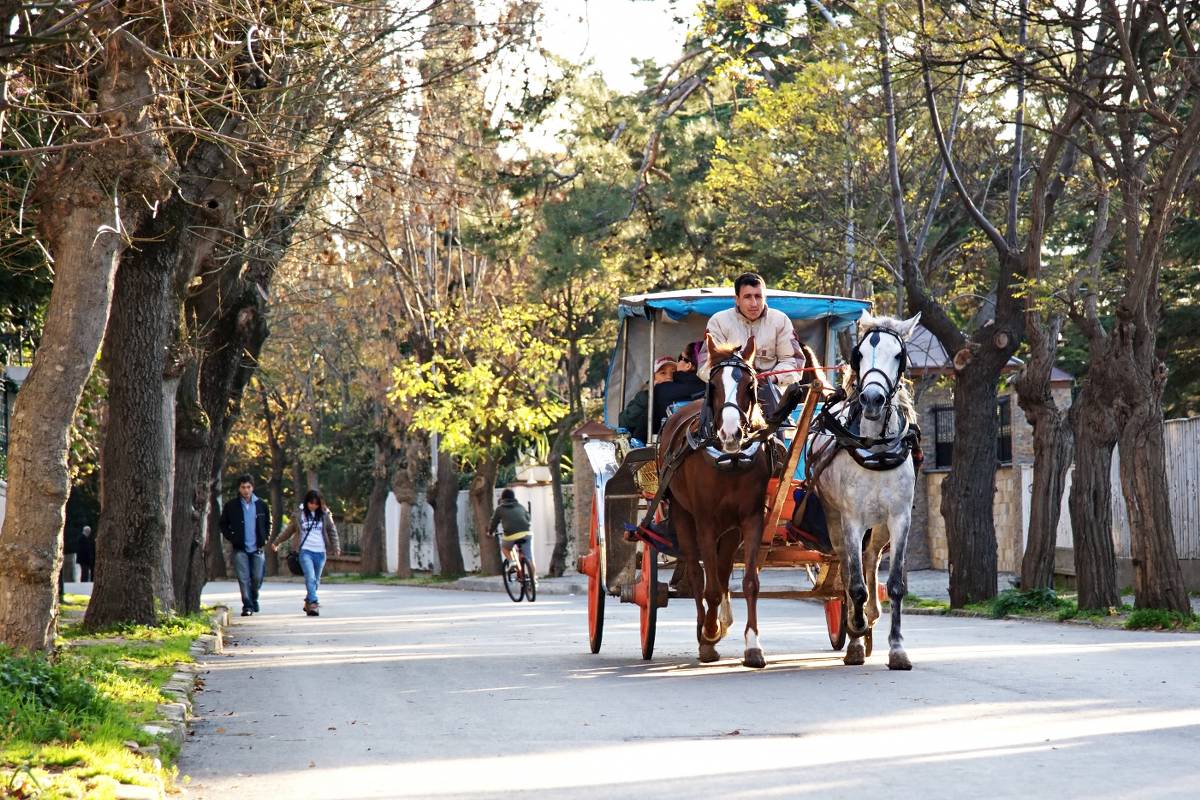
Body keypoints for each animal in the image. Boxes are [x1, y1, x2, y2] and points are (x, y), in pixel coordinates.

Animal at [657, 335, 777, 666]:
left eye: (750, 385)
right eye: (713, 386)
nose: (731, 433)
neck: (729, 459)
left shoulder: (751, 519)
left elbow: (749, 582)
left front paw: (753, 645)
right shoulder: (705, 521)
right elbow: (708, 586)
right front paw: (709, 634)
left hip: (730, 529)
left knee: (722, 573)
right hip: (683, 516)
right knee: (698, 576)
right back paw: (705, 632)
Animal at [811, 311, 921, 671]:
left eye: (899, 355)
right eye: (858, 354)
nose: (872, 399)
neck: (876, 449)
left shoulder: (900, 519)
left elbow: (896, 585)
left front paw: (897, 649)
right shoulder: (851, 521)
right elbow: (855, 585)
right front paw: (855, 637)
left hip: (881, 525)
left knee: (871, 558)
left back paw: (871, 615)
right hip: (835, 521)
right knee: (848, 571)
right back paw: (856, 627)